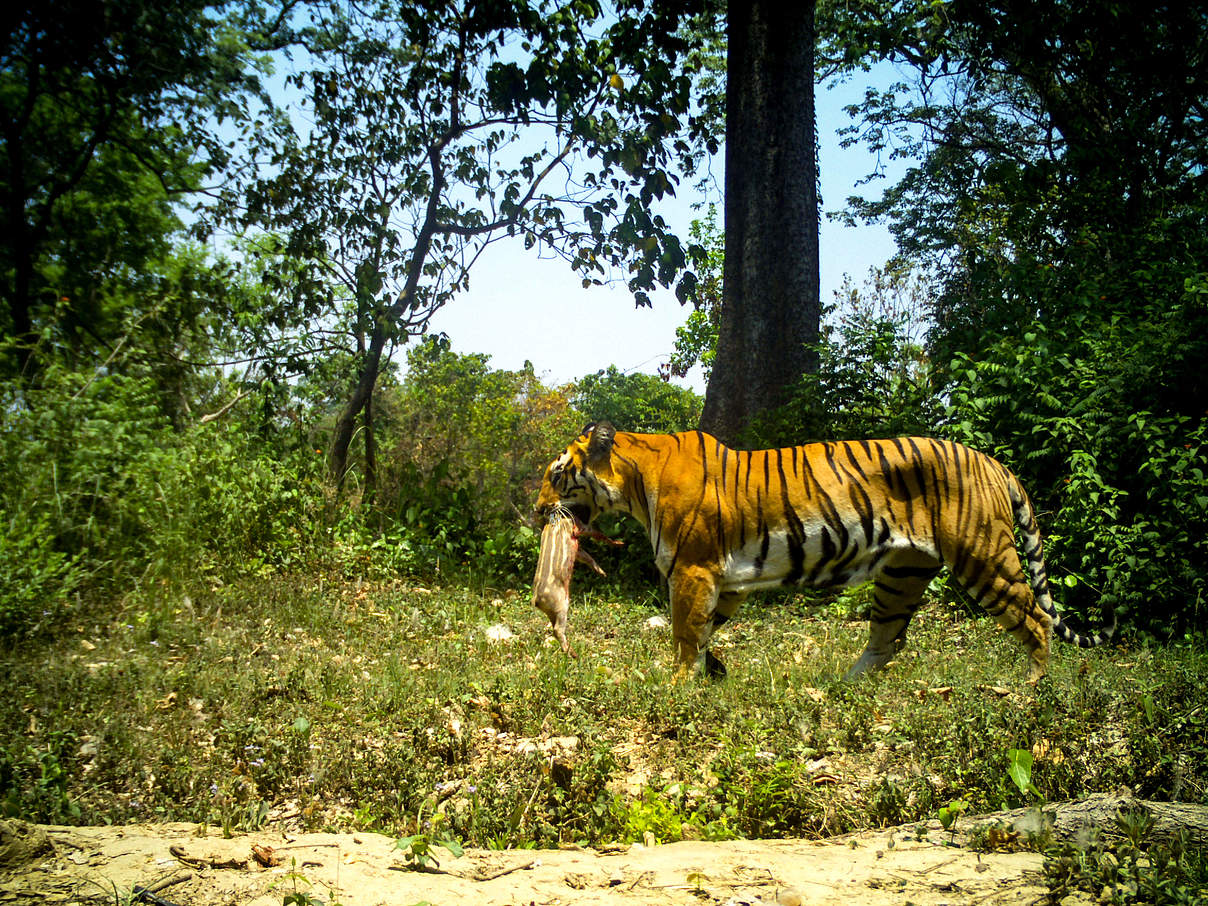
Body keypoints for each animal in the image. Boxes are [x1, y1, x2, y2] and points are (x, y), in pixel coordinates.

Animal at [533, 422, 1116, 686]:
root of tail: (995, 462)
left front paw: (678, 684)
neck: (635, 479)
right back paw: (839, 686)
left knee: (1034, 617)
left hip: (983, 557)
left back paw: (1027, 689)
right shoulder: (725, 582)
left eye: (555, 475)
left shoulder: (693, 571)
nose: (537, 509)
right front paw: (711, 670)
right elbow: (704, 630)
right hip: (903, 576)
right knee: (888, 640)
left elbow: (683, 633)